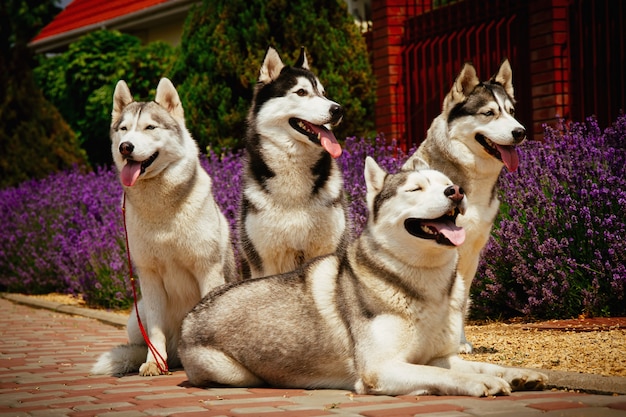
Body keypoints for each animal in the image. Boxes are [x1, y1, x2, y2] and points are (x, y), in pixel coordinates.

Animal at [89, 78, 233, 376]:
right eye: (123, 129)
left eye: (150, 127)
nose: (126, 147)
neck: (161, 211)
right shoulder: (149, 277)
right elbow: (155, 332)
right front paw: (154, 362)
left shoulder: (208, 269)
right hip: (137, 313)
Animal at [178, 157, 544, 396]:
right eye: (415, 189)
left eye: (447, 185)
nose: (456, 191)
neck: (426, 286)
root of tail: (190, 314)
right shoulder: (381, 368)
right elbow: (440, 375)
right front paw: (477, 383)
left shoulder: (440, 356)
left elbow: (482, 365)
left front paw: (520, 374)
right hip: (233, 373)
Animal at [402, 59, 524, 352]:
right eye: (489, 113)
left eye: (512, 112)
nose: (520, 132)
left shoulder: (472, 256)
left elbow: (460, 301)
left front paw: (460, 341)